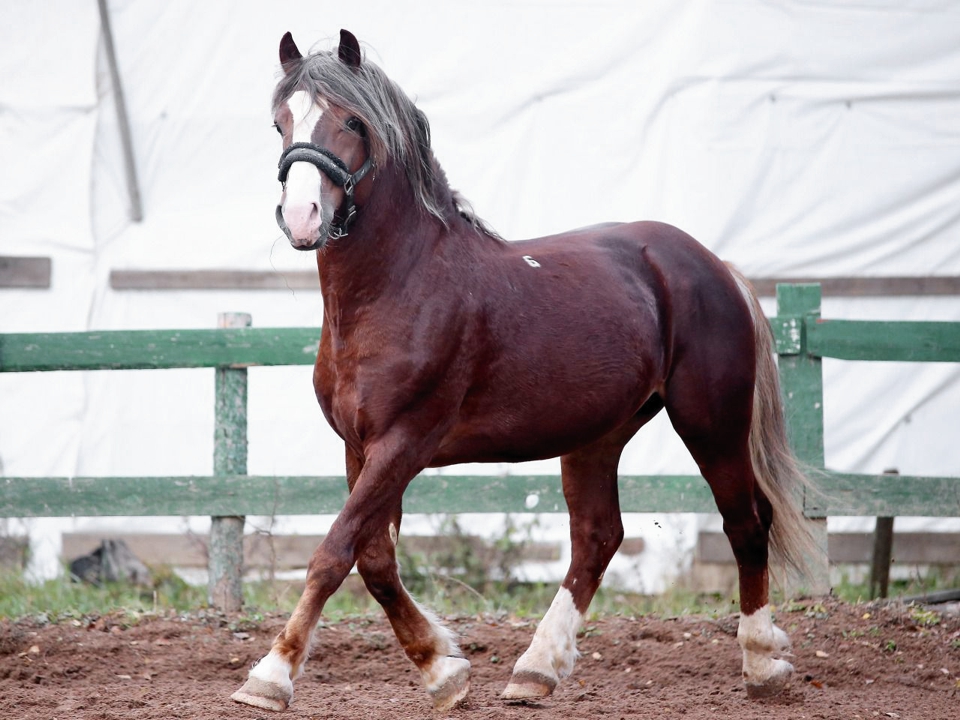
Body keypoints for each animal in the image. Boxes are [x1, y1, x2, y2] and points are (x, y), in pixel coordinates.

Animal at [231, 29, 808, 716]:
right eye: (280, 122)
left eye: (352, 120)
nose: (302, 217)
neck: (399, 286)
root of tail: (714, 266)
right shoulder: (360, 448)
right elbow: (373, 561)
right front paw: (443, 670)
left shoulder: (404, 443)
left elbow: (333, 554)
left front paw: (269, 676)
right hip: (597, 435)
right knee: (598, 537)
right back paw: (535, 670)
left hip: (710, 422)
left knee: (746, 522)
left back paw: (763, 662)